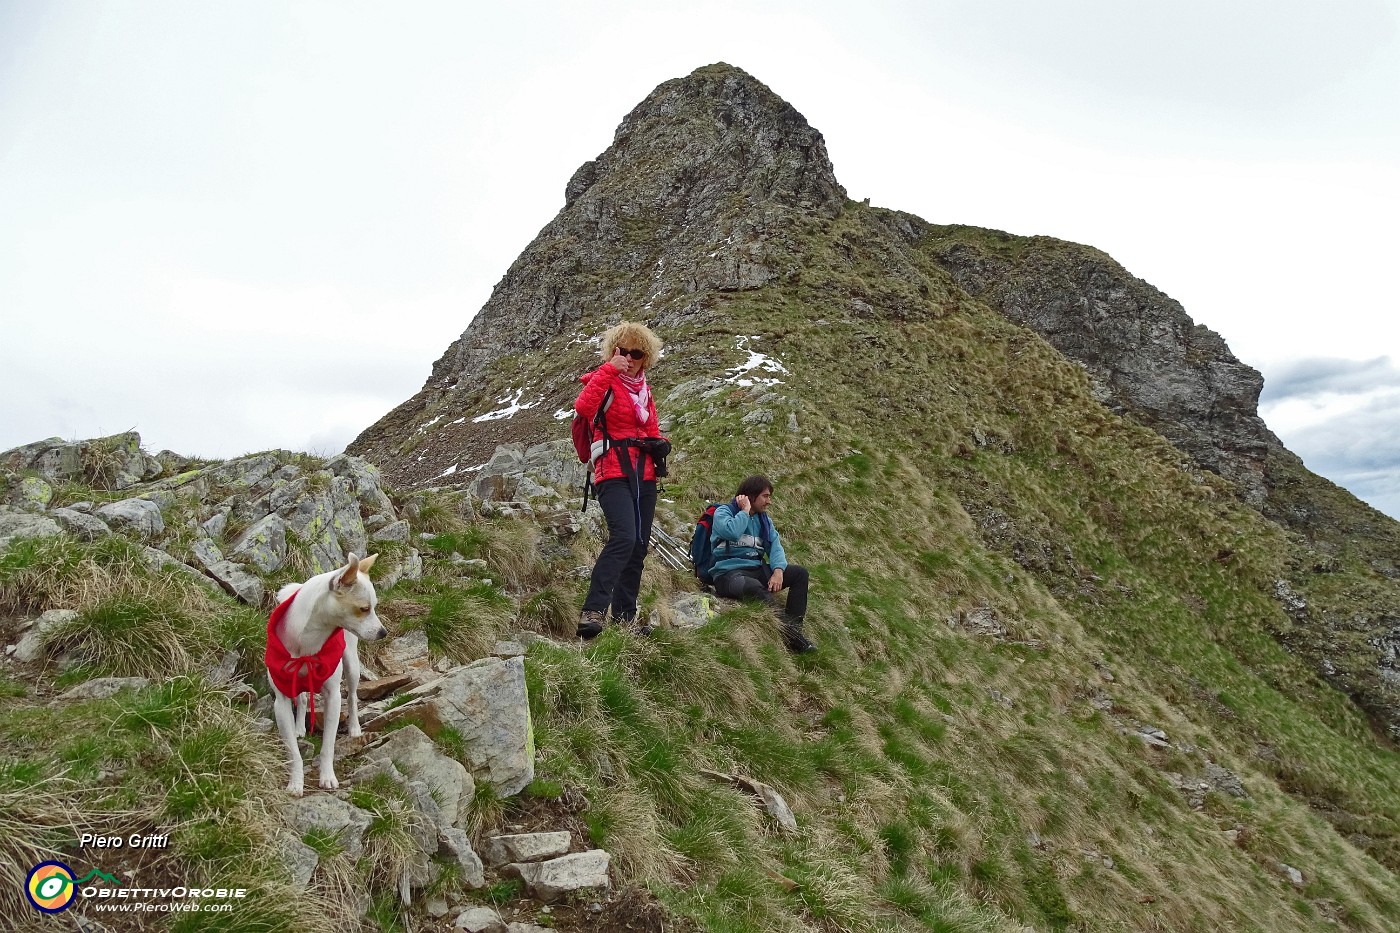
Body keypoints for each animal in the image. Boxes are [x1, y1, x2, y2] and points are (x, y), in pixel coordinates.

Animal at [260, 549, 383, 795]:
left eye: (374, 607)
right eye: (365, 608)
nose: (383, 632)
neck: (308, 641)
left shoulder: (333, 697)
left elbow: (328, 745)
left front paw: (327, 777)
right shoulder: (281, 702)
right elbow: (293, 751)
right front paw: (295, 783)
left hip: (352, 665)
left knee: (352, 696)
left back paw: (354, 728)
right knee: (303, 698)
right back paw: (300, 727)